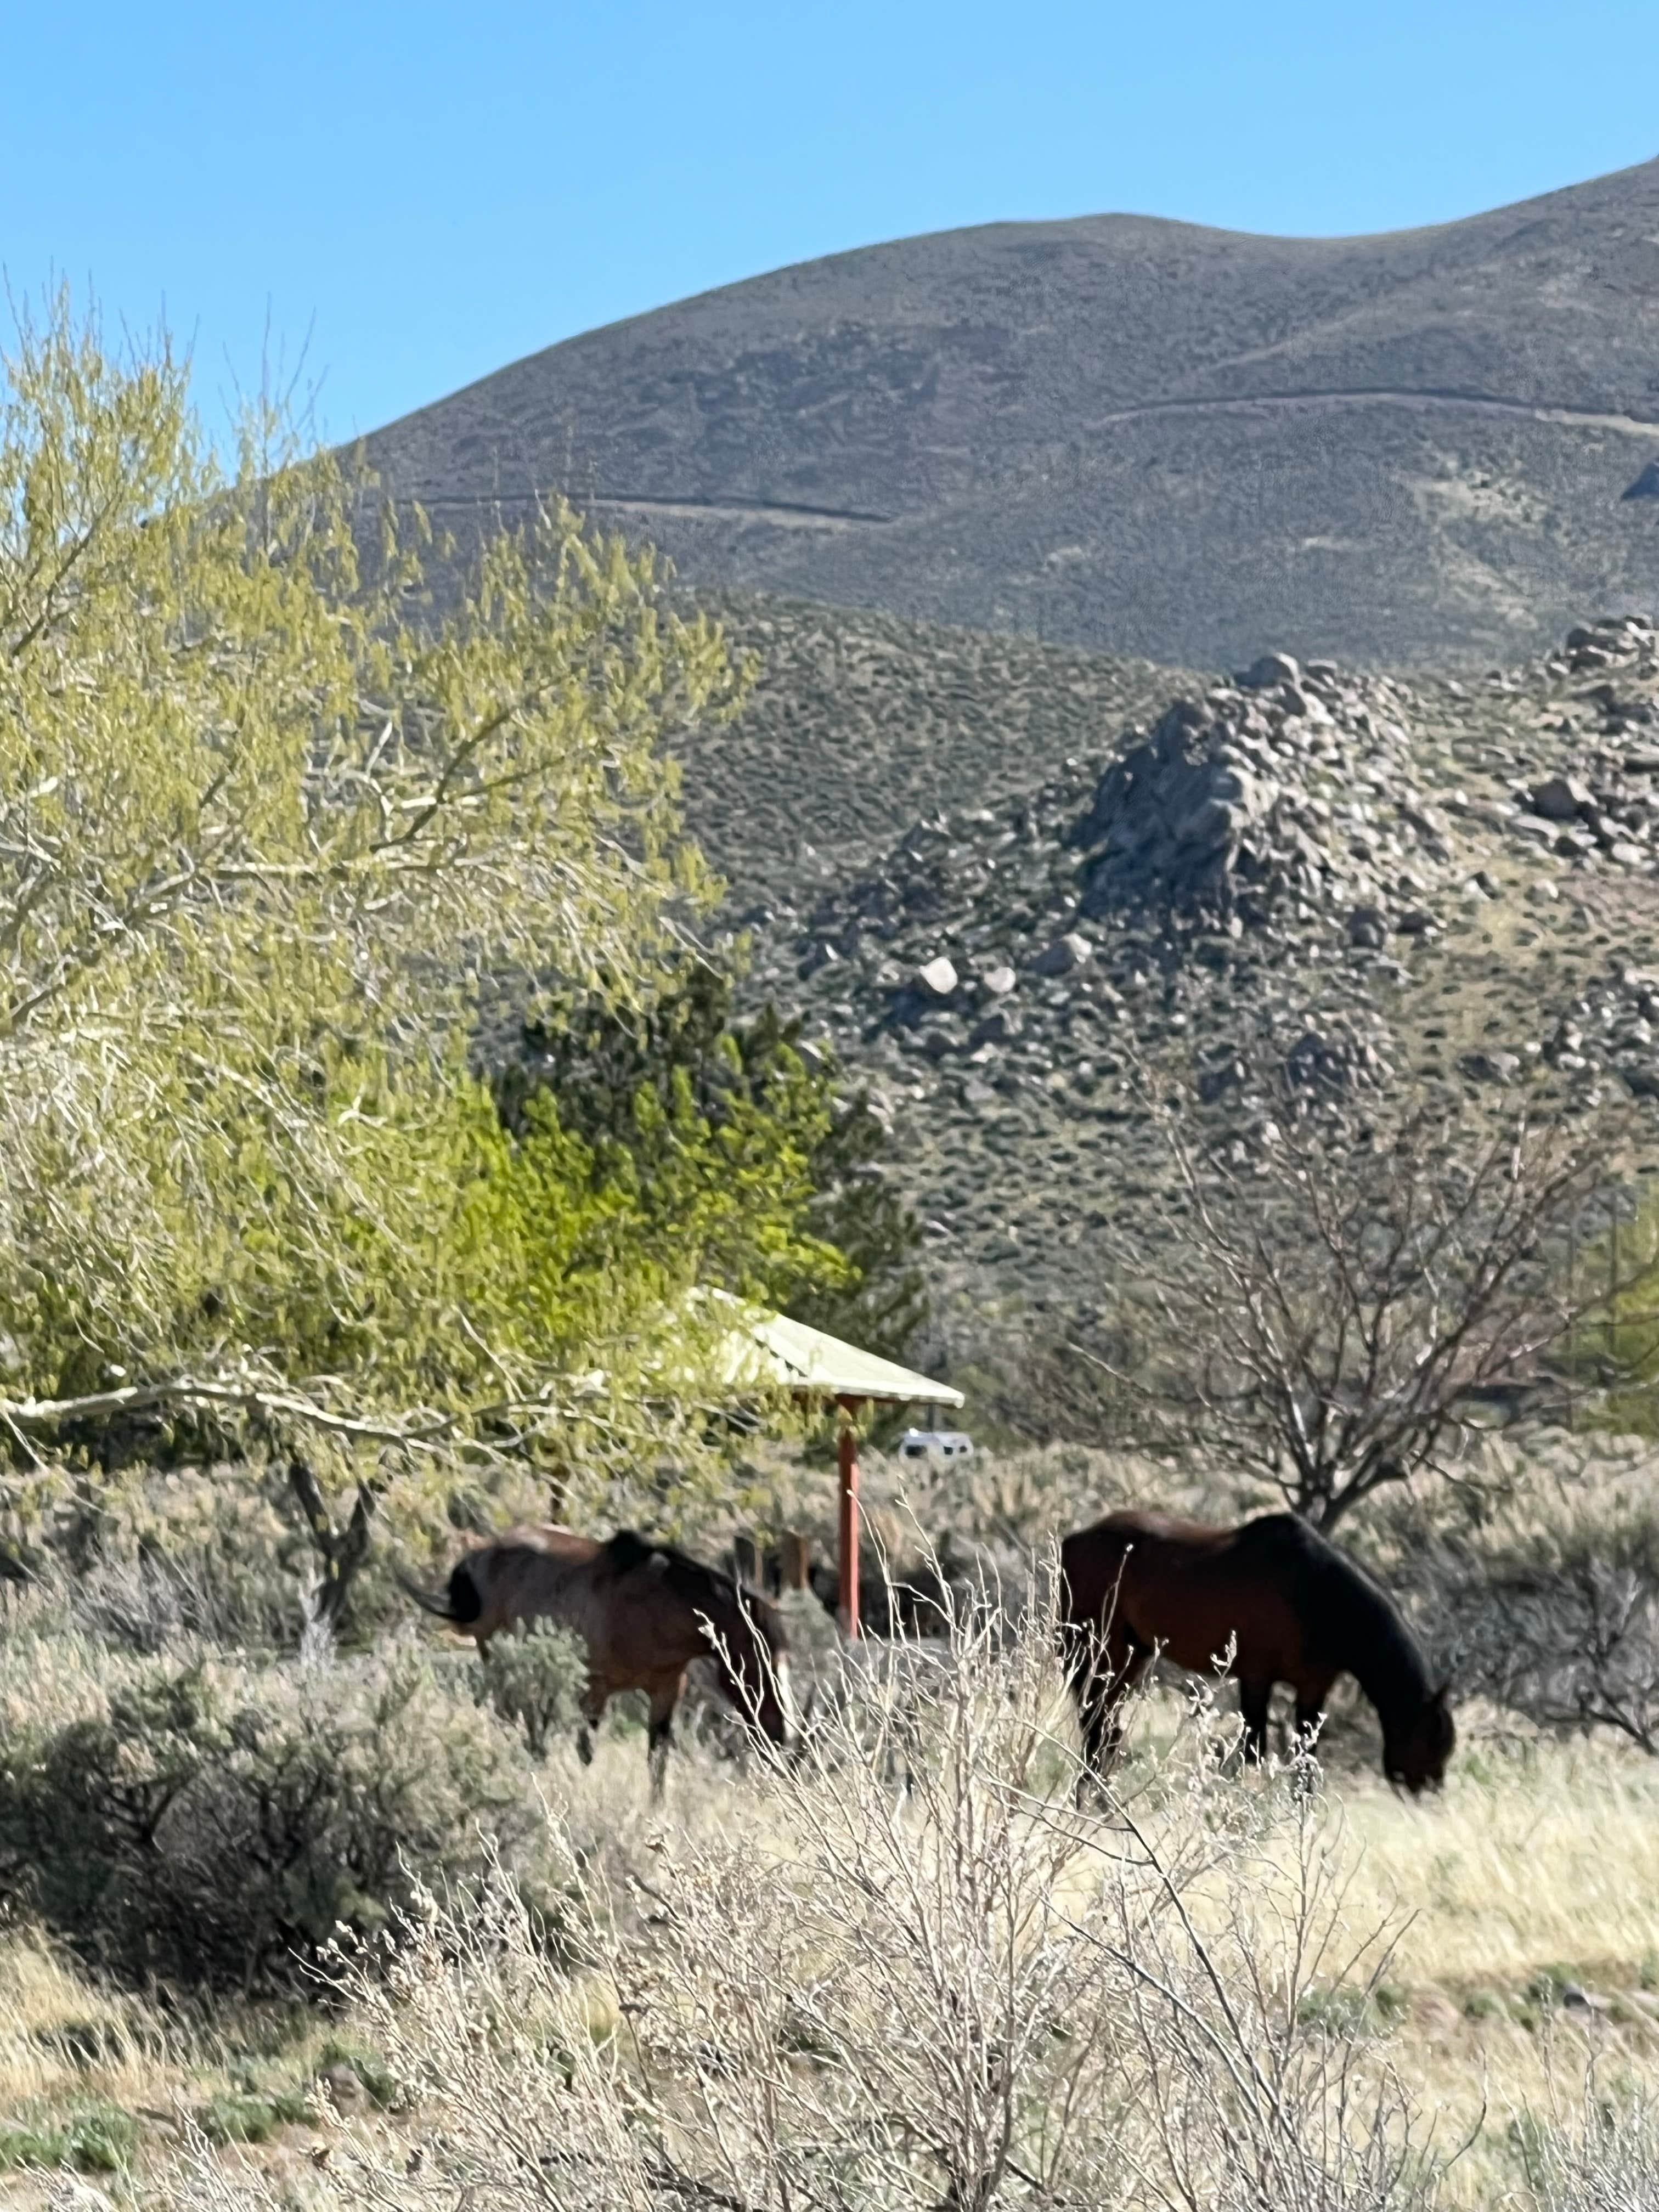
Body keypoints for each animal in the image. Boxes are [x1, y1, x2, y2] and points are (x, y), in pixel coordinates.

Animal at [402, 1526, 798, 1794]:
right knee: (511, 1717)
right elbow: (587, 1752)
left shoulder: (667, 1689)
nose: (784, 1735)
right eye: (760, 1661)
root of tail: (477, 1560)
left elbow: (657, 1762)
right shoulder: (595, 1690)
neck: (657, 1605)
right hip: (497, 1657)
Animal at [1058, 1510, 1454, 1795]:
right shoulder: (1256, 1679)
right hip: (1099, 1652)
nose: (1429, 1794)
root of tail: (1072, 1541)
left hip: (1132, 1658)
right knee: (1096, 1723)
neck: (1316, 1594)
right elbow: (1254, 1751)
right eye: (1430, 1742)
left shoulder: (1313, 1688)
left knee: (1106, 1726)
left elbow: (1305, 1760)